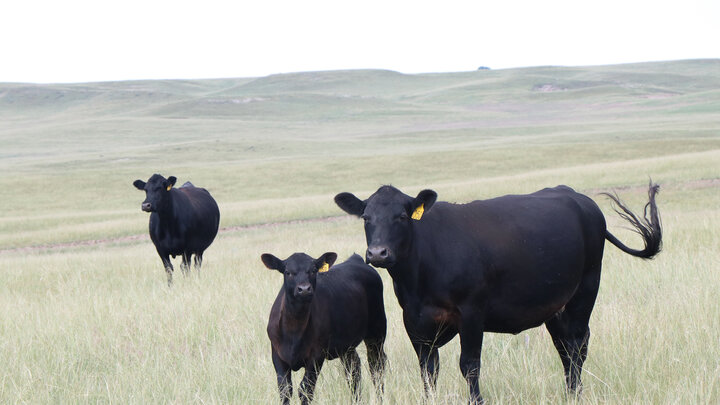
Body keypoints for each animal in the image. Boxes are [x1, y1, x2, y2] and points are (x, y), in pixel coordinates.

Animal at [262, 251, 388, 402]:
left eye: (313, 270)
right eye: (288, 272)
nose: (304, 289)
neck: (294, 329)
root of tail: (356, 260)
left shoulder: (317, 355)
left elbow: (305, 389)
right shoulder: (277, 354)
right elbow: (285, 390)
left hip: (377, 331)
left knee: (376, 366)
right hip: (347, 344)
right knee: (353, 369)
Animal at [334, 184, 660, 404]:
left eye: (402, 216)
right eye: (366, 217)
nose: (378, 253)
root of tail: (579, 198)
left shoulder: (471, 313)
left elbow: (469, 365)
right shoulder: (415, 321)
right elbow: (428, 369)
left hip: (585, 290)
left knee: (578, 345)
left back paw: (575, 395)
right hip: (556, 307)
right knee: (565, 349)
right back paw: (569, 392)